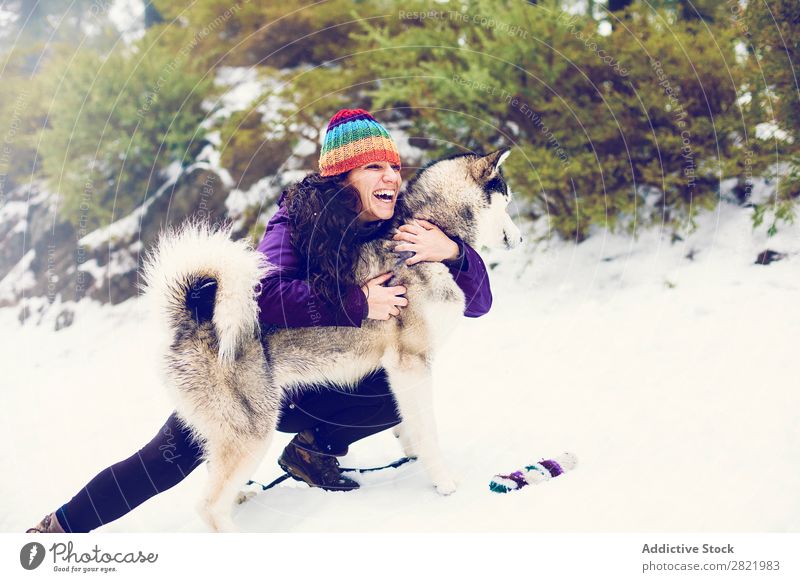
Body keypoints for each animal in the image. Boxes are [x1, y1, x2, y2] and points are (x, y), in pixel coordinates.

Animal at [141, 147, 520, 532]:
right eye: (507, 203)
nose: (520, 240)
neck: (430, 228)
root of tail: (192, 319)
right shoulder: (411, 364)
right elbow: (428, 433)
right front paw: (443, 483)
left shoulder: (398, 371)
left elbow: (409, 424)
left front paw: (411, 451)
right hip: (252, 431)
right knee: (208, 506)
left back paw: (244, 494)